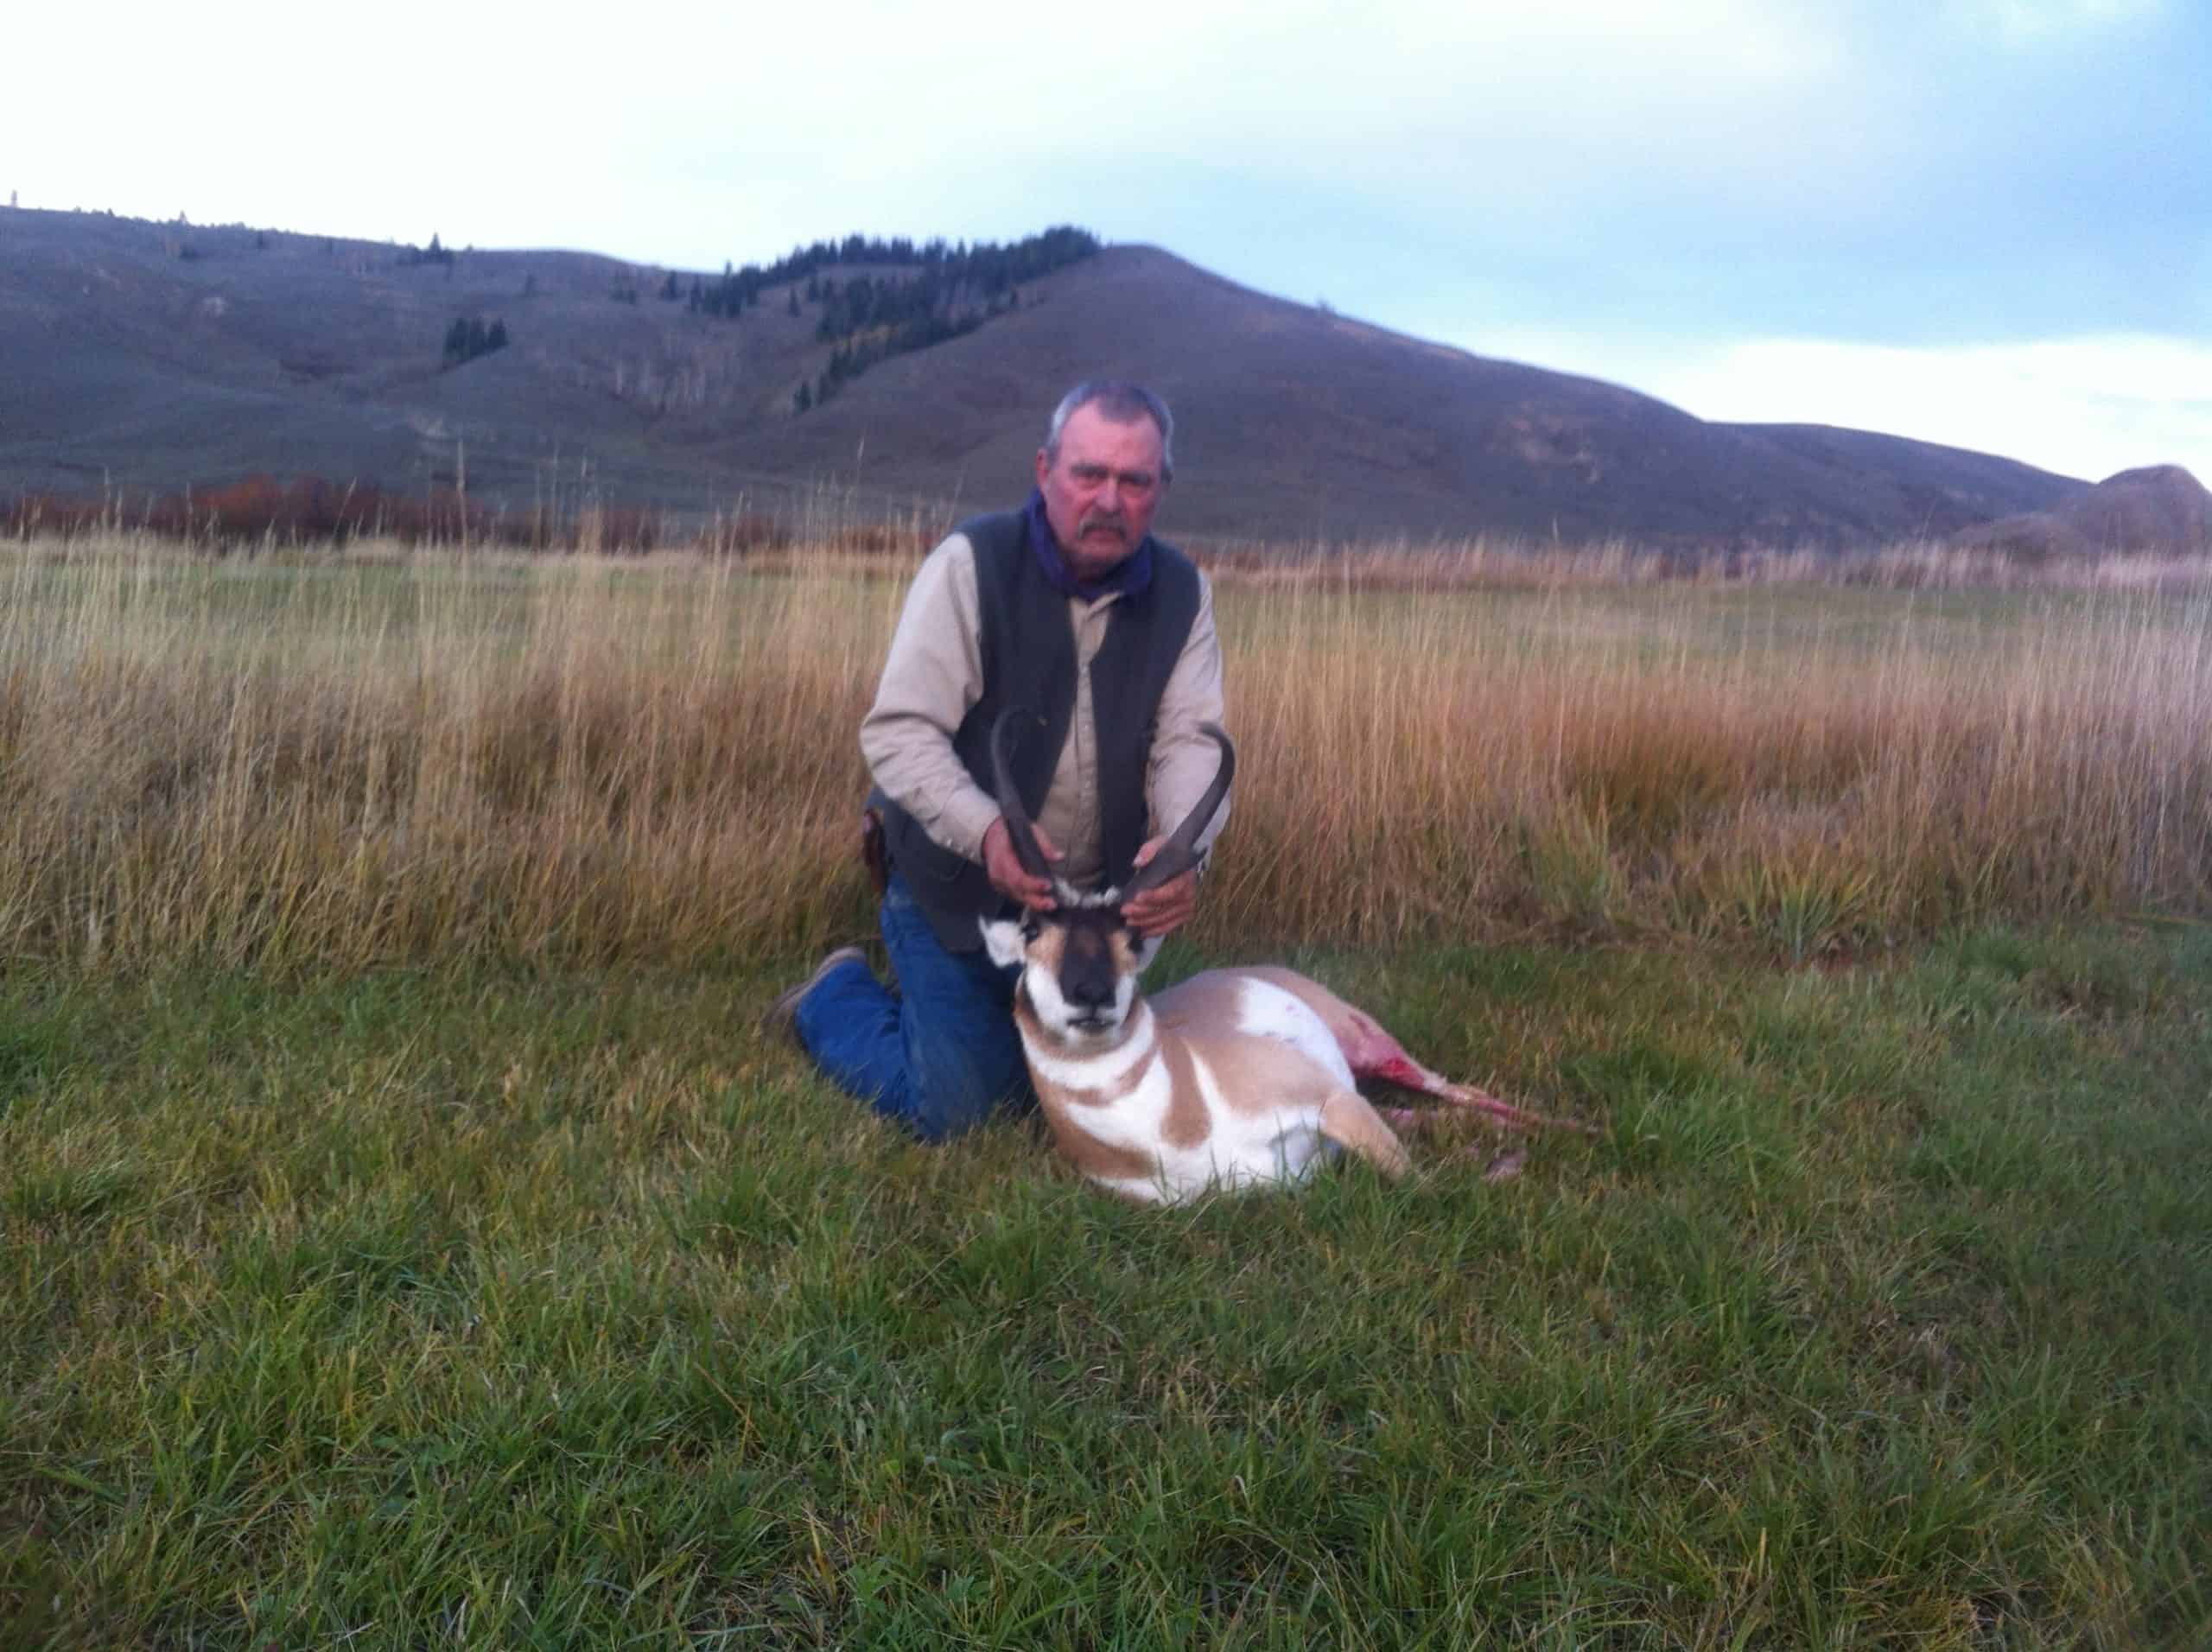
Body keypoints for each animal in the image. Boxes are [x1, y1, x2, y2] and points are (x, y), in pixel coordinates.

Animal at [977, 712, 1583, 1203]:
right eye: (1033, 928)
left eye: (1131, 935)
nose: (1091, 994)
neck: (1177, 1121)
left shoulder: (1334, 1101)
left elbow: (1426, 1188)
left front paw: (1502, 1170)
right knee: (1420, 1110)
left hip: (1371, 1045)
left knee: (1459, 1092)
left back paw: (1575, 1129)